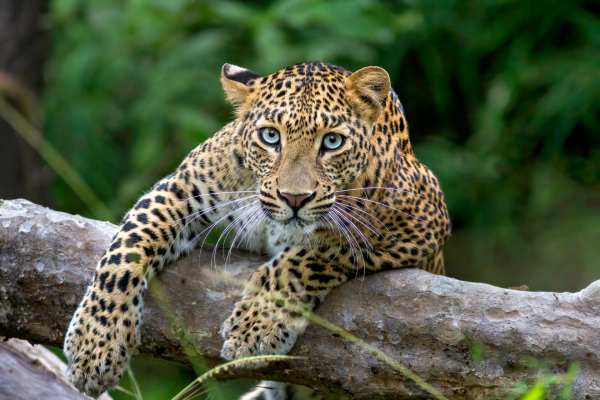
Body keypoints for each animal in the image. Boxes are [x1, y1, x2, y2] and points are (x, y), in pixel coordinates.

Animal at [64, 61, 450, 398]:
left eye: (332, 142)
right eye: (270, 136)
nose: (294, 198)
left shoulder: (425, 219)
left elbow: (313, 253)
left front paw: (255, 327)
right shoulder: (182, 187)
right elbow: (128, 246)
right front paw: (94, 346)